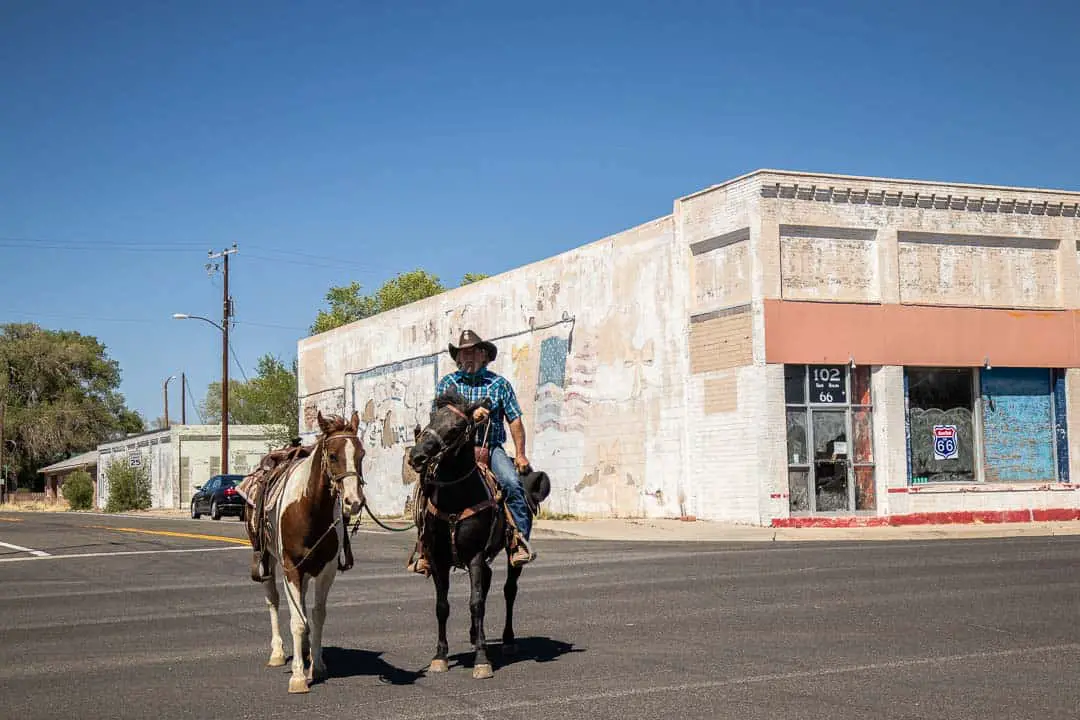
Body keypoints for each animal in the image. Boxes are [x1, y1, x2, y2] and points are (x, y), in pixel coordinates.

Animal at [254, 414, 365, 695]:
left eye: (361, 454)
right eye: (333, 456)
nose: (353, 502)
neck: (309, 509)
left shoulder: (326, 570)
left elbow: (316, 615)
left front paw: (317, 664)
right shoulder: (291, 567)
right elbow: (296, 620)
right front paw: (298, 677)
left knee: (302, 604)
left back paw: (304, 649)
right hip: (269, 561)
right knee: (274, 601)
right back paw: (278, 653)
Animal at [410, 390, 552, 677]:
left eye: (455, 428)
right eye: (431, 418)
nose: (417, 457)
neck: (456, 498)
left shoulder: (475, 554)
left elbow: (477, 604)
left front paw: (482, 660)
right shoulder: (439, 559)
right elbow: (442, 606)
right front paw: (440, 656)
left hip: (509, 554)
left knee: (509, 590)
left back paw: (507, 640)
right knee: (486, 584)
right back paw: (476, 636)